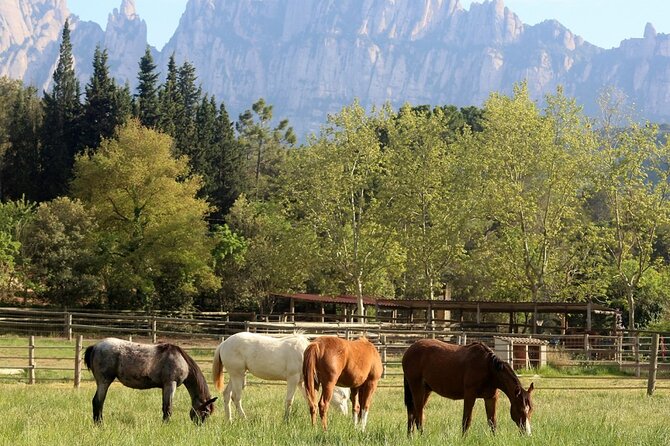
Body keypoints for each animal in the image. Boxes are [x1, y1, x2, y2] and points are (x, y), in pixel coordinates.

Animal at [84, 338, 217, 424]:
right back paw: (100, 424)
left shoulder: (165, 387)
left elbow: (164, 406)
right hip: (104, 382)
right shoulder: (170, 384)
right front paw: (167, 425)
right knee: (98, 402)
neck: (180, 360)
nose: (199, 426)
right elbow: (168, 408)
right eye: (206, 411)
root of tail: (95, 346)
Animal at [211, 331, 350, 421]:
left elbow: (310, 400)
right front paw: (286, 419)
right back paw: (244, 419)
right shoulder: (293, 379)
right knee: (236, 397)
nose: (346, 416)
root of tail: (224, 344)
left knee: (227, 395)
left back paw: (229, 420)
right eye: (343, 396)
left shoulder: (301, 382)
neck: (305, 355)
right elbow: (289, 400)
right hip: (237, 375)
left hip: (235, 375)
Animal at [402, 339, 534, 436]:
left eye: (531, 410)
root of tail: (408, 351)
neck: (488, 368)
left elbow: (492, 422)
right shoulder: (470, 395)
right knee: (418, 415)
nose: (528, 434)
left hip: (426, 390)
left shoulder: (491, 398)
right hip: (417, 388)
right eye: (520, 410)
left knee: (412, 414)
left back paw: (410, 437)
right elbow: (467, 421)